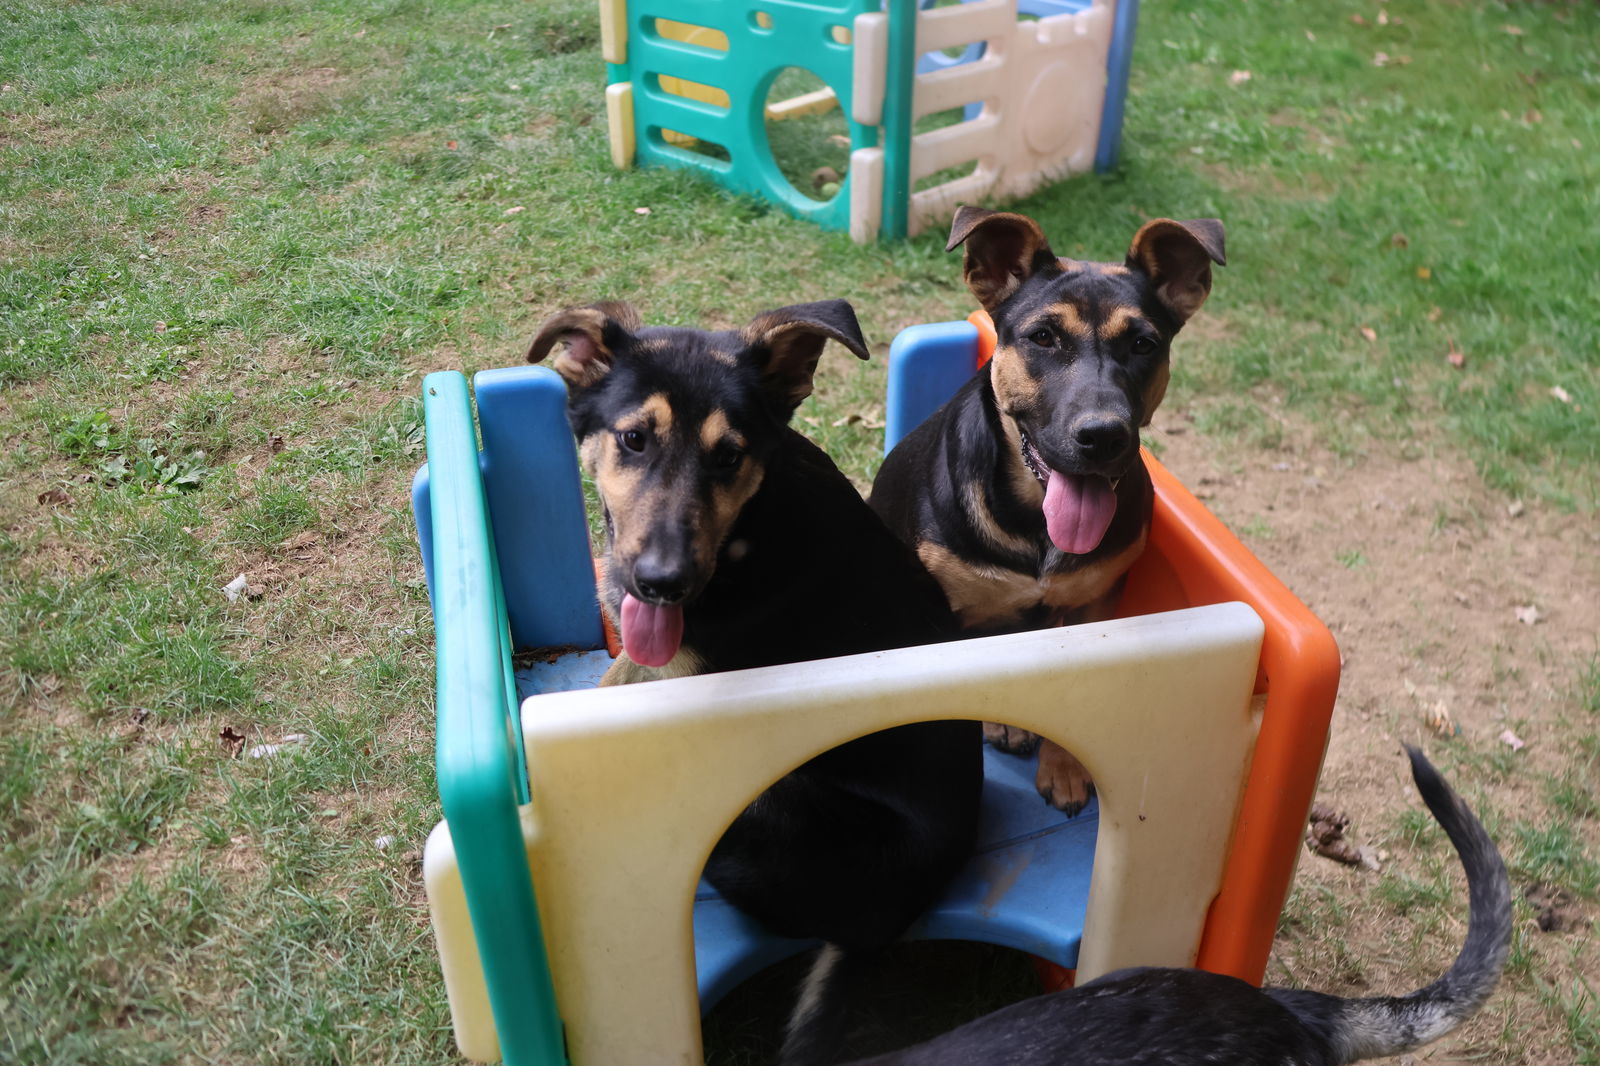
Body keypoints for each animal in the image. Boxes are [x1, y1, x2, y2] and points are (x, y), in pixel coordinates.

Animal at [531, 296, 979, 1062]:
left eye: (729, 456)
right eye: (634, 440)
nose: (663, 584)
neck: (748, 532)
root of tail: (897, 914)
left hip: (765, 793)